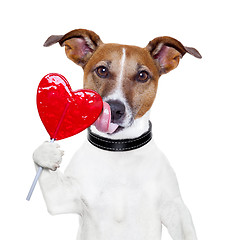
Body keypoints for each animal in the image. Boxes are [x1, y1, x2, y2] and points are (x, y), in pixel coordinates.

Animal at [32, 29, 202, 239]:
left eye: (142, 75)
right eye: (102, 70)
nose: (114, 109)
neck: (119, 150)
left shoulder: (175, 208)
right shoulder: (63, 199)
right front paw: (47, 153)